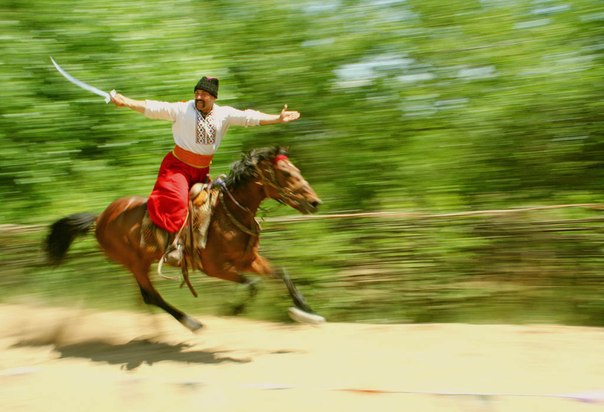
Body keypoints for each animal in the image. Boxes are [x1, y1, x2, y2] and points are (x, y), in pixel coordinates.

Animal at [46, 146, 324, 334]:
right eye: (286, 173)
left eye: (296, 170)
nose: (314, 202)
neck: (227, 214)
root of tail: (101, 217)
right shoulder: (215, 268)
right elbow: (252, 285)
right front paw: (232, 310)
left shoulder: (249, 260)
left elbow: (281, 275)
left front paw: (307, 312)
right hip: (134, 262)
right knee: (151, 297)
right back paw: (191, 323)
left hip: (140, 263)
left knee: (143, 298)